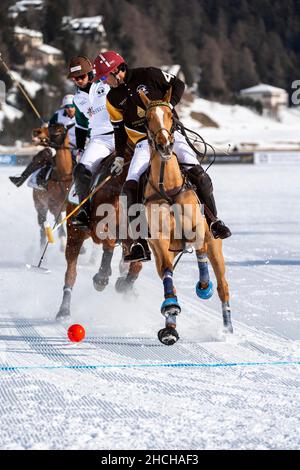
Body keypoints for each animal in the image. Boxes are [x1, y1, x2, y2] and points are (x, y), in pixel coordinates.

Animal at [31, 123, 73, 252]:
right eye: (49, 125)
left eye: (58, 130)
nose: (37, 131)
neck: (64, 178)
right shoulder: (54, 206)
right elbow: (60, 226)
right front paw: (64, 245)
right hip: (40, 206)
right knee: (42, 228)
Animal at [56, 151, 143, 324]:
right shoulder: (100, 228)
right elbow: (108, 242)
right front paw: (102, 277)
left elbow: (137, 264)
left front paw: (124, 285)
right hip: (75, 235)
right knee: (71, 273)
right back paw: (64, 311)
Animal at [139, 89, 233, 346]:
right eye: (147, 118)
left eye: (171, 115)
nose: (164, 144)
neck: (169, 187)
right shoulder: (159, 240)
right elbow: (167, 273)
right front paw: (171, 308)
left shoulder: (199, 228)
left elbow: (200, 252)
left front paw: (204, 287)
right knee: (166, 272)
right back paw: (170, 328)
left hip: (216, 244)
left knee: (223, 286)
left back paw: (227, 328)